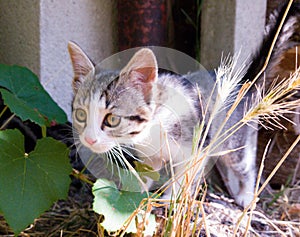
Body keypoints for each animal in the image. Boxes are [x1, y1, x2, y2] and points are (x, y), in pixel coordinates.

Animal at [68, 0, 300, 207]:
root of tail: (242, 85)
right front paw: (134, 194)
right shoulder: (150, 157)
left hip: (233, 141)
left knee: (246, 164)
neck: (153, 128)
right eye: (81, 115)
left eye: (112, 119)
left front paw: (170, 199)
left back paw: (245, 195)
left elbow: (182, 178)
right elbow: (146, 174)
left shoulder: (196, 149)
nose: (88, 140)